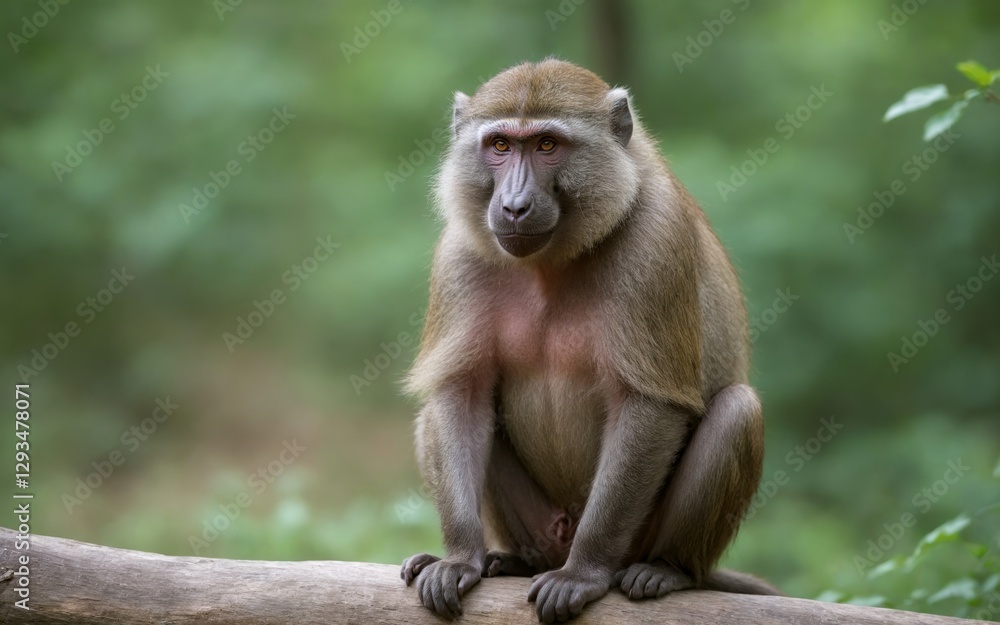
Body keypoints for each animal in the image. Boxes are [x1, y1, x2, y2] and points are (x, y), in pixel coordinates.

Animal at [400, 59, 775, 623]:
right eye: (501, 145)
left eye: (548, 145)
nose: (513, 206)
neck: (553, 260)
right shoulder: (460, 253)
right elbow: (461, 395)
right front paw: (460, 557)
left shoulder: (653, 243)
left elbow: (649, 405)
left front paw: (583, 573)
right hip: (540, 522)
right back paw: (514, 560)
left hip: (640, 533)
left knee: (737, 411)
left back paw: (668, 568)